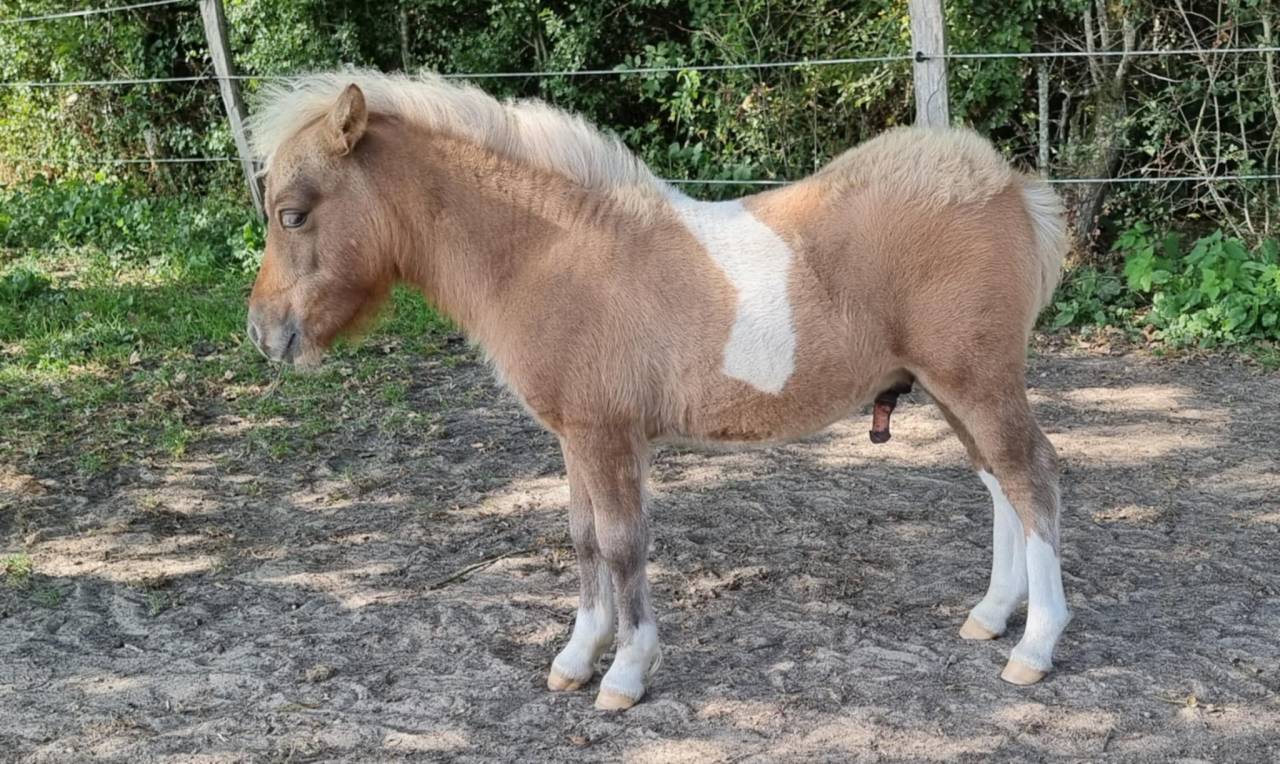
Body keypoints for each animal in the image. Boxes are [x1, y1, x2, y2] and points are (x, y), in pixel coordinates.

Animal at [244, 71, 1071, 711]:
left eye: (293, 213)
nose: (264, 331)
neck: (550, 253)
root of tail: (1010, 187)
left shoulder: (608, 435)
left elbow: (621, 544)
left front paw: (626, 674)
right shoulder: (576, 436)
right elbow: (582, 539)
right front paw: (575, 660)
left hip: (977, 381)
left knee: (1032, 477)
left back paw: (1033, 647)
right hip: (948, 388)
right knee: (998, 482)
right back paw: (991, 615)